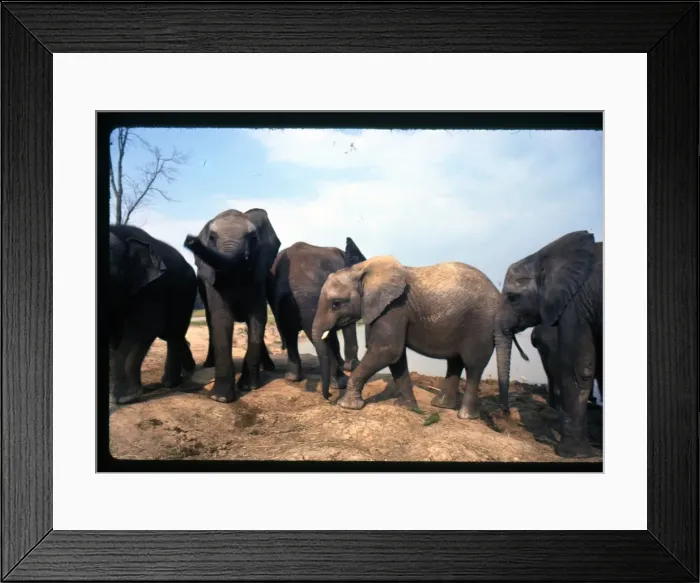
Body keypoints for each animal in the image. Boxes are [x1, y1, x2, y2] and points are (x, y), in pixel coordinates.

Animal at [109, 225, 197, 404]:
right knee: (172, 334)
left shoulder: (152, 287)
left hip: (186, 294)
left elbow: (146, 327)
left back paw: (173, 382)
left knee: (174, 334)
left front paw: (125, 398)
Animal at [183, 208, 281, 403]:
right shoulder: (213, 282)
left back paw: (269, 367)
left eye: (252, 237)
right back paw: (209, 364)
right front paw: (220, 398)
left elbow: (257, 318)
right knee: (210, 322)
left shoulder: (258, 278)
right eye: (212, 237)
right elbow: (222, 319)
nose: (189, 240)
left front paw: (248, 387)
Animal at [311, 256, 529, 418]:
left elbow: (386, 351)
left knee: (473, 366)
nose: (328, 396)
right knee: (455, 361)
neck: (361, 270)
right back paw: (441, 406)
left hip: (481, 325)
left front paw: (346, 406)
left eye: (336, 304)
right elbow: (396, 357)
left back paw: (465, 416)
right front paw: (406, 407)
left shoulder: (394, 308)